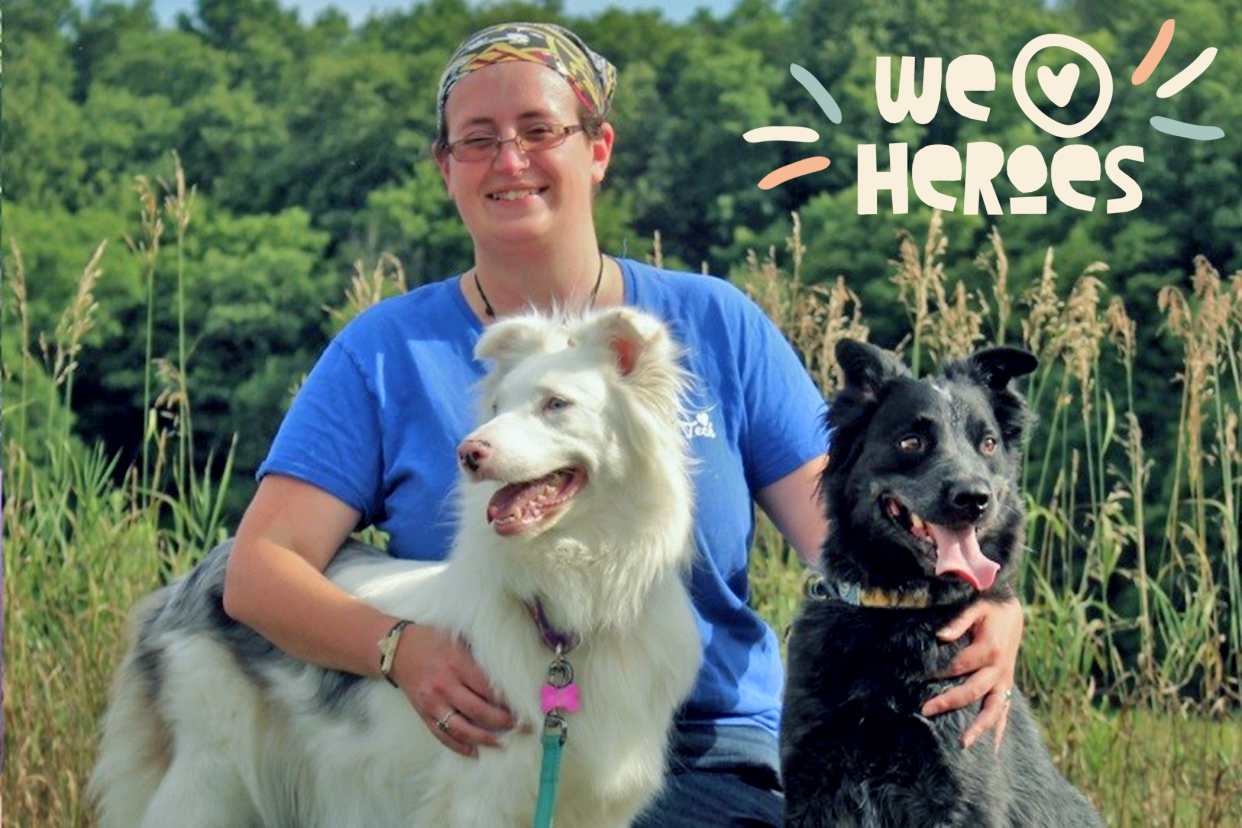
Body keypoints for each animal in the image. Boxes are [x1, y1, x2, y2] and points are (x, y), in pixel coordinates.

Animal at [91, 309, 705, 828]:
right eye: (498, 407)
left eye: (557, 404)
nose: (468, 452)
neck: (572, 599)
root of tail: (192, 577)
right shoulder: (479, 799)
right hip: (209, 776)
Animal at [779, 337, 1102, 828]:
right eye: (911, 441)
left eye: (987, 443)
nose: (974, 498)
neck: (899, 615)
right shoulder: (815, 786)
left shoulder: (953, 794)